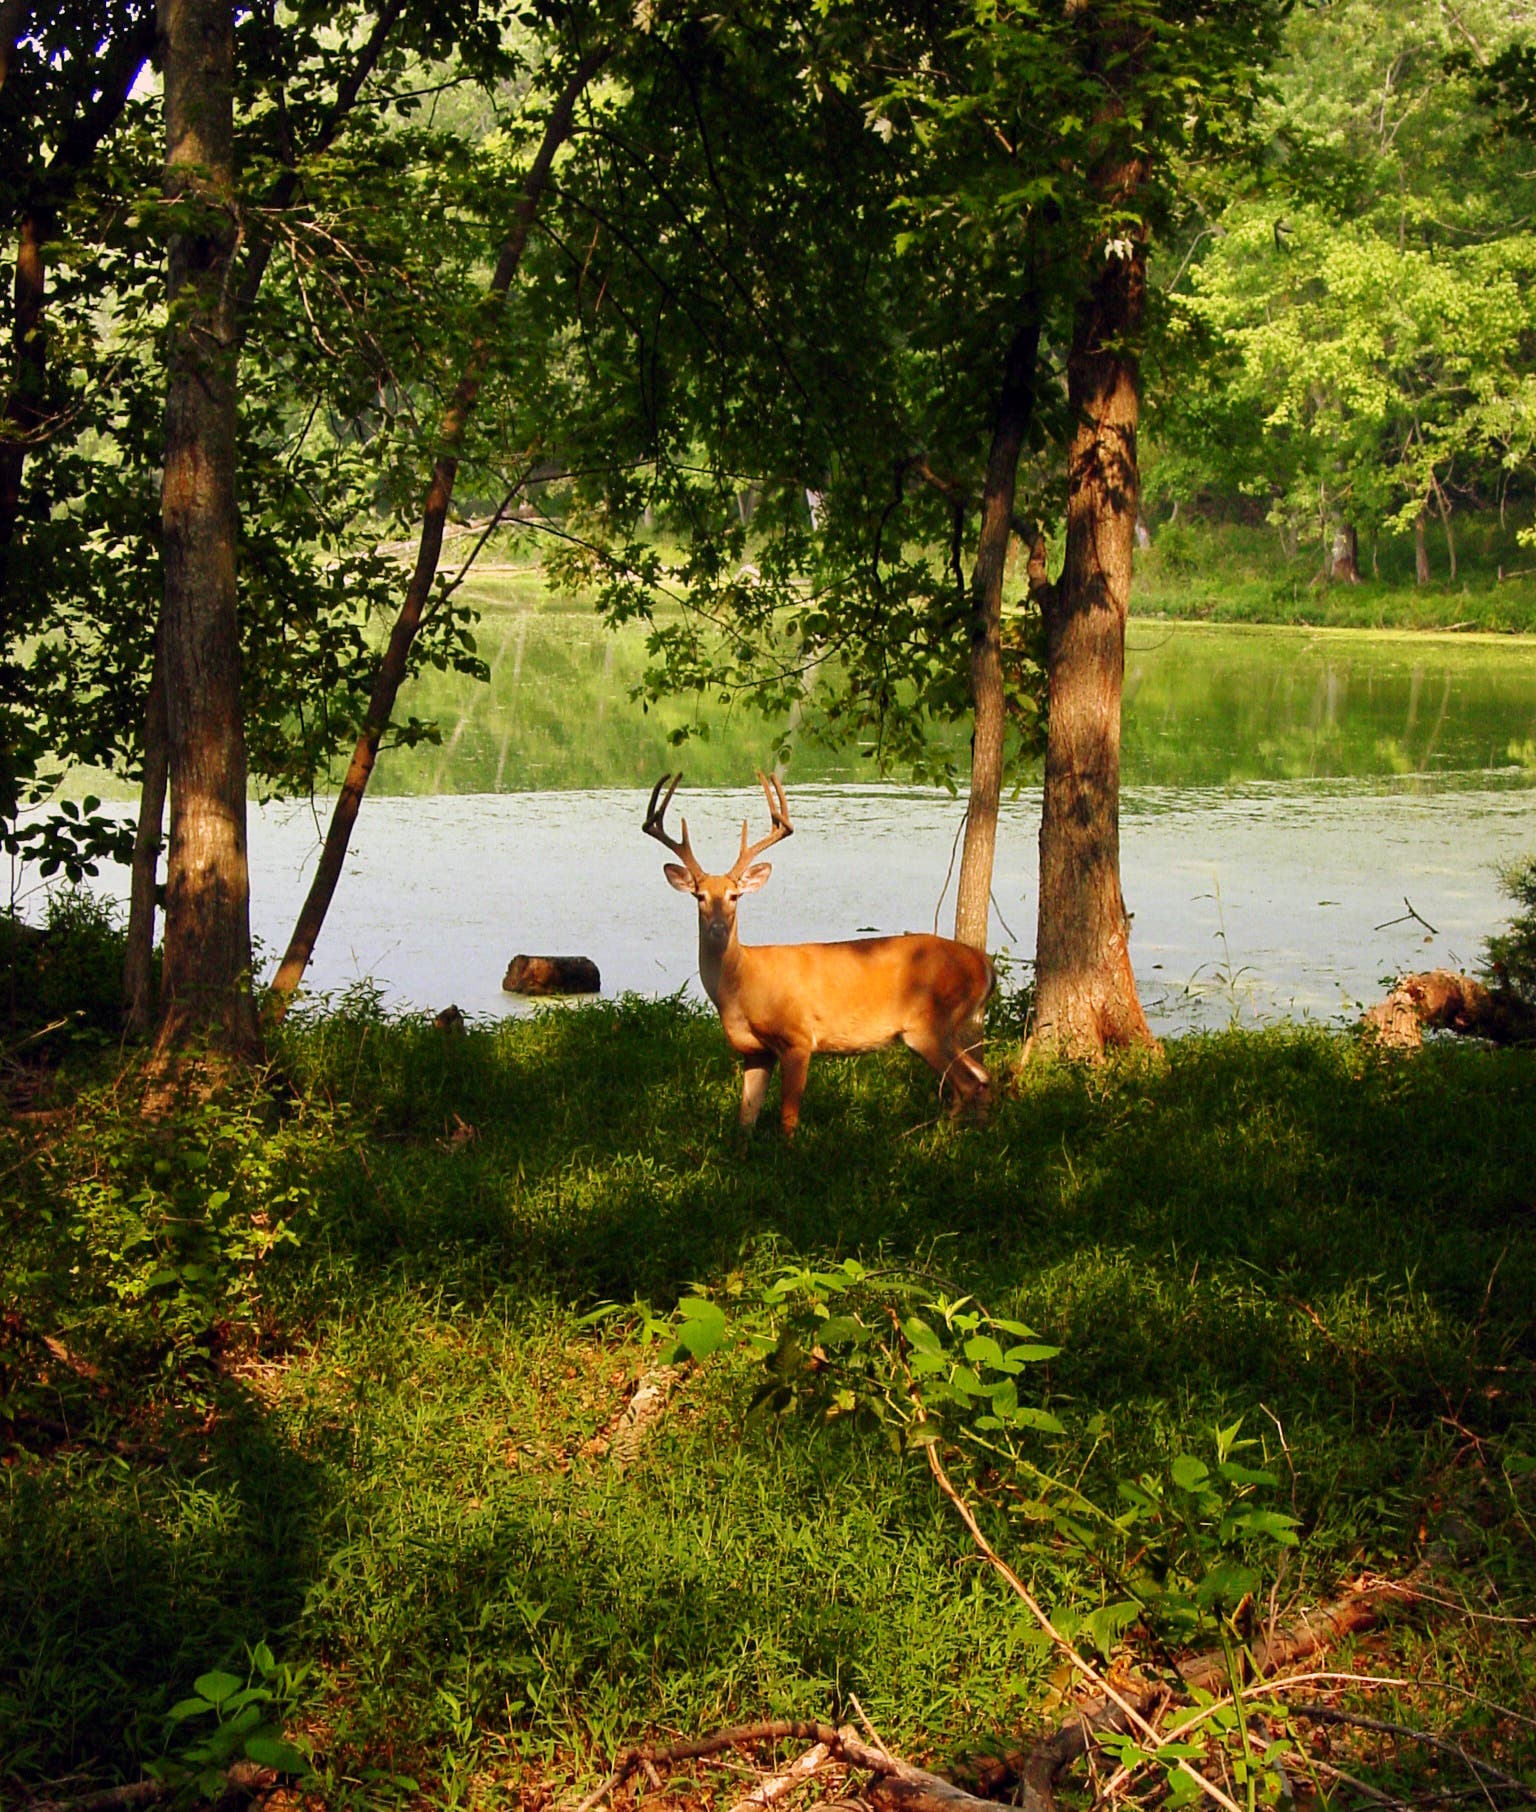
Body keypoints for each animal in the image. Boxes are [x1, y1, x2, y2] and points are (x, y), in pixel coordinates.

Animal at [643, 771, 994, 1138]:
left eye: (734, 895)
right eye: (699, 896)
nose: (716, 928)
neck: (741, 986)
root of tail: (985, 965)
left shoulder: (797, 1038)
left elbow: (788, 1119)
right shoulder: (755, 1052)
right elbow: (745, 1120)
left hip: (931, 1024)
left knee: (968, 1083)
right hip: (947, 1028)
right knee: (984, 1077)